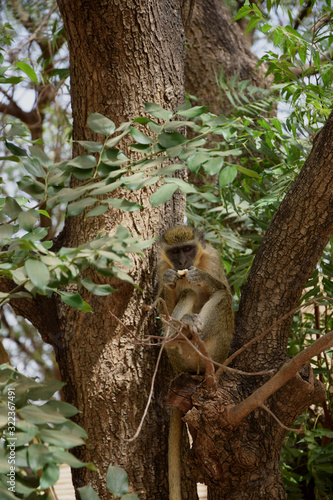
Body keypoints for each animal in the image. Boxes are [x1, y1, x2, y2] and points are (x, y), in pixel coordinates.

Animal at [156, 226, 232, 500]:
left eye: (188, 249)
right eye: (175, 252)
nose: (182, 264)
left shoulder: (213, 258)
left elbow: (222, 289)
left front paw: (202, 278)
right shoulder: (160, 266)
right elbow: (163, 302)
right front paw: (171, 279)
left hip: (217, 351)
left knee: (222, 298)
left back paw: (193, 328)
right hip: (178, 359)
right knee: (186, 294)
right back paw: (177, 334)